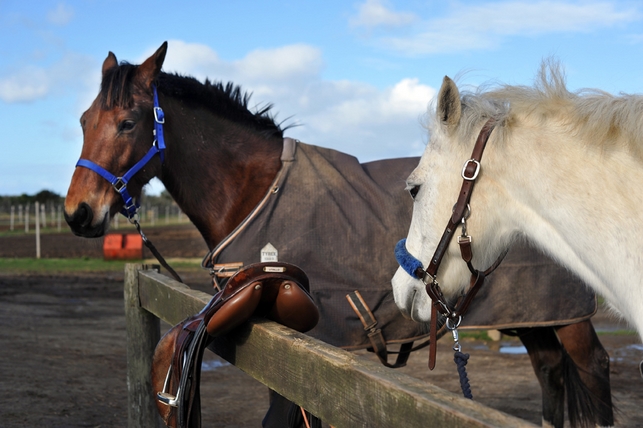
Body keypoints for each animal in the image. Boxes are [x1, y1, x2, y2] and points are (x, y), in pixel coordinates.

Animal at [64, 43, 612, 427]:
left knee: (593, 369)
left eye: (128, 122)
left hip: (568, 319)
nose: (77, 213)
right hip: (534, 318)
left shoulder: (304, 347)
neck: (257, 192)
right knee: (550, 372)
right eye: (84, 120)